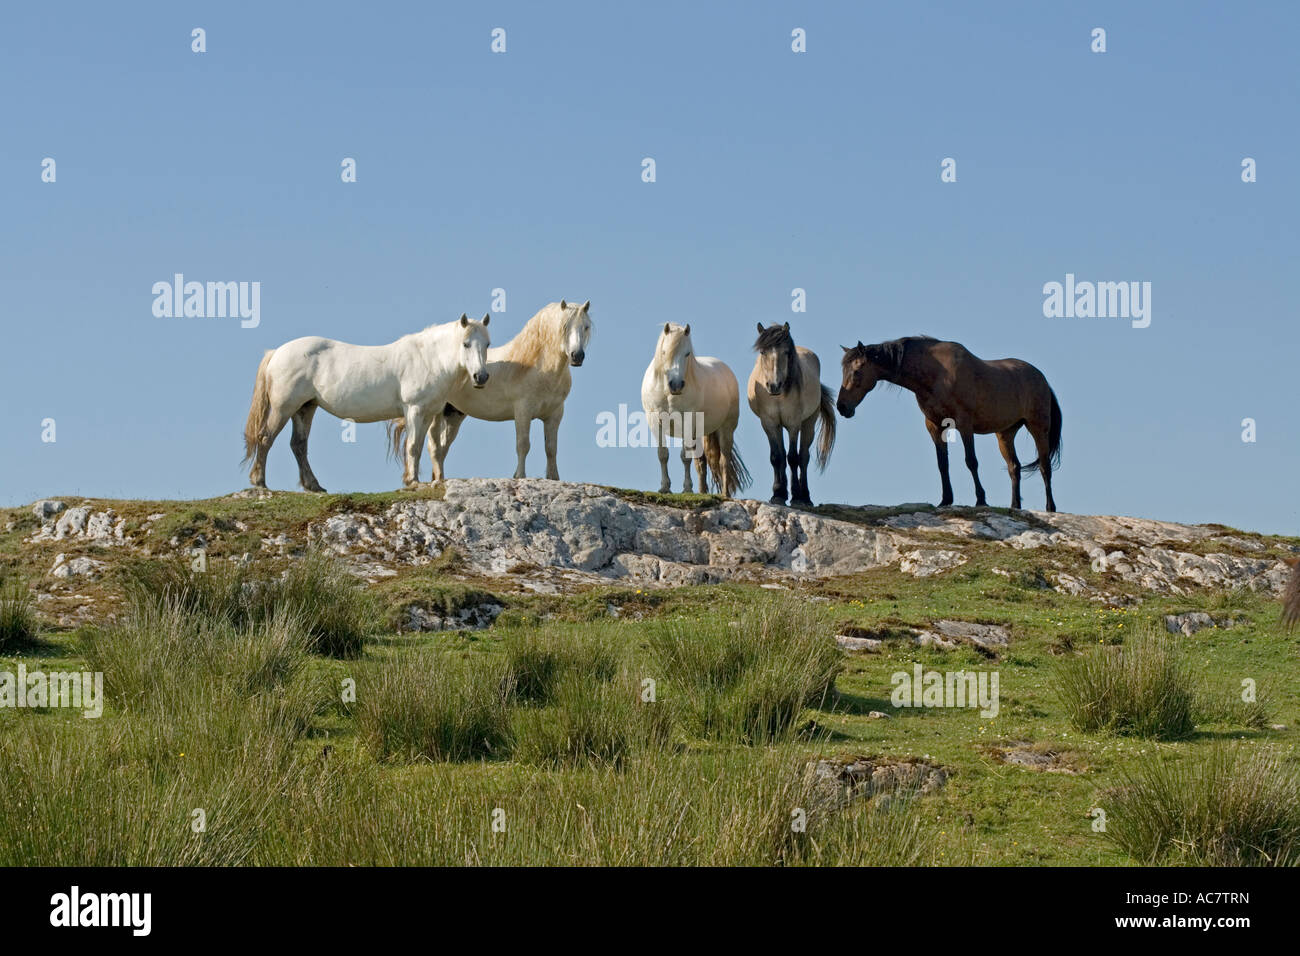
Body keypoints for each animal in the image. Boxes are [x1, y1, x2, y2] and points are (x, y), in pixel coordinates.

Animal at [241, 316, 488, 494]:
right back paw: (260, 482)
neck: (427, 358)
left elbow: (418, 447)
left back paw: (314, 486)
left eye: (487, 344)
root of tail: (276, 353)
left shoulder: (427, 414)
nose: (481, 377)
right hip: (284, 408)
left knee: (298, 445)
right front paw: (413, 481)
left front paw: (412, 479)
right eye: (465, 344)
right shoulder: (414, 410)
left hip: (305, 408)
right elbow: (412, 447)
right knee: (266, 438)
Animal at [382, 299, 592, 478]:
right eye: (564, 327)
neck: (537, 367)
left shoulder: (554, 414)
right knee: (434, 446)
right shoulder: (523, 411)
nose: (577, 356)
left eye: (586, 327)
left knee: (442, 448)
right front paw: (520, 476)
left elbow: (551, 448)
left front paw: (553, 479)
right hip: (435, 413)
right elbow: (523, 444)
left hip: (453, 415)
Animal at [639, 323, 754, 496]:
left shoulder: (686, 422)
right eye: (664, 352)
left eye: (687, 353)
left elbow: (684, 457)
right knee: (701, 463)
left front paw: (687, 488)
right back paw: (702, 492)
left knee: (723, 460)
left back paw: (724, 494)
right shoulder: (655, 422)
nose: (676, 385)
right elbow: (663, 454)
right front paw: (665, 487)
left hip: (726, 429)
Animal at [748, 323, 837, 509]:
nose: (774, 385)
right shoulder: (769, 423)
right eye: (763, 352)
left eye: (787, 352)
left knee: (803, 457)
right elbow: (777, 457)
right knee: (782, 454)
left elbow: (793, 457)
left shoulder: (793, 423)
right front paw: (778, 494)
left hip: (808, 424)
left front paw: (796, 496)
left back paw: (805, 497)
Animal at [837, 338, 1060, 515]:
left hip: (1038, 427)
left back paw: (1050, 508)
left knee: (1044, 467)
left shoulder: (964, 424)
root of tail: (1042, 378)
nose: (842, 407)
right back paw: (1015, 506)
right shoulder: (935, 426)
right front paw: (945, 500)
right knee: (1014, 467)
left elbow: (971, 461)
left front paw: (981, 500)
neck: (937, 375)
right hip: (1005, 433)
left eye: (856, 371)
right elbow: (942, 463)